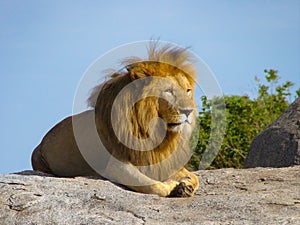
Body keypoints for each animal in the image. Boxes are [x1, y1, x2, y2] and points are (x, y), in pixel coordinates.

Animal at [31, 44, 199, 197]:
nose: (189, 111)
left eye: (188, 90)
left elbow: (194, 177)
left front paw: (186, 186)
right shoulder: (116, 165)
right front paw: (174, 187)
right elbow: (151, 185)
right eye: (169, 91)